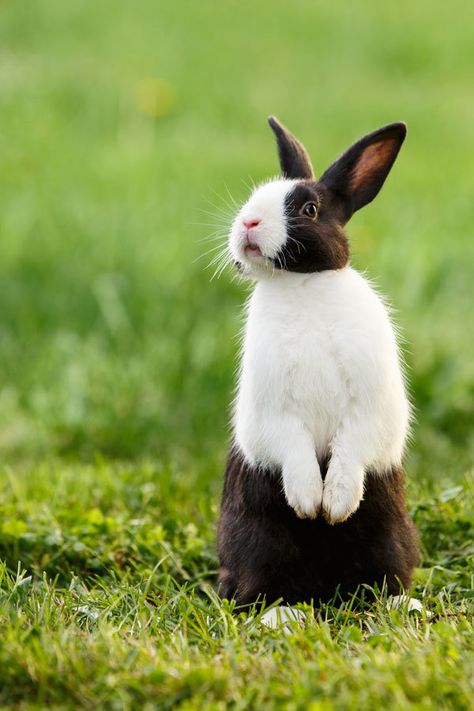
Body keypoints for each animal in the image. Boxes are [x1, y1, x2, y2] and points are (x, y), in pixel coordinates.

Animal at [216, 115, 418, 608]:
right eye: (258, 193)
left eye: (309, 209)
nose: (248, 222)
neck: (303, 285)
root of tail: (325, 585)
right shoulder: (273, 413)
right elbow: (292, 446)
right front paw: (310, 502)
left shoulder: (370, 406)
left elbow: (354, 445)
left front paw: (336, 505)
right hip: (257, 536)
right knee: (258, 584)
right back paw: (283, 614)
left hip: (389, 533)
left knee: (385, 574)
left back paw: (400, 604)